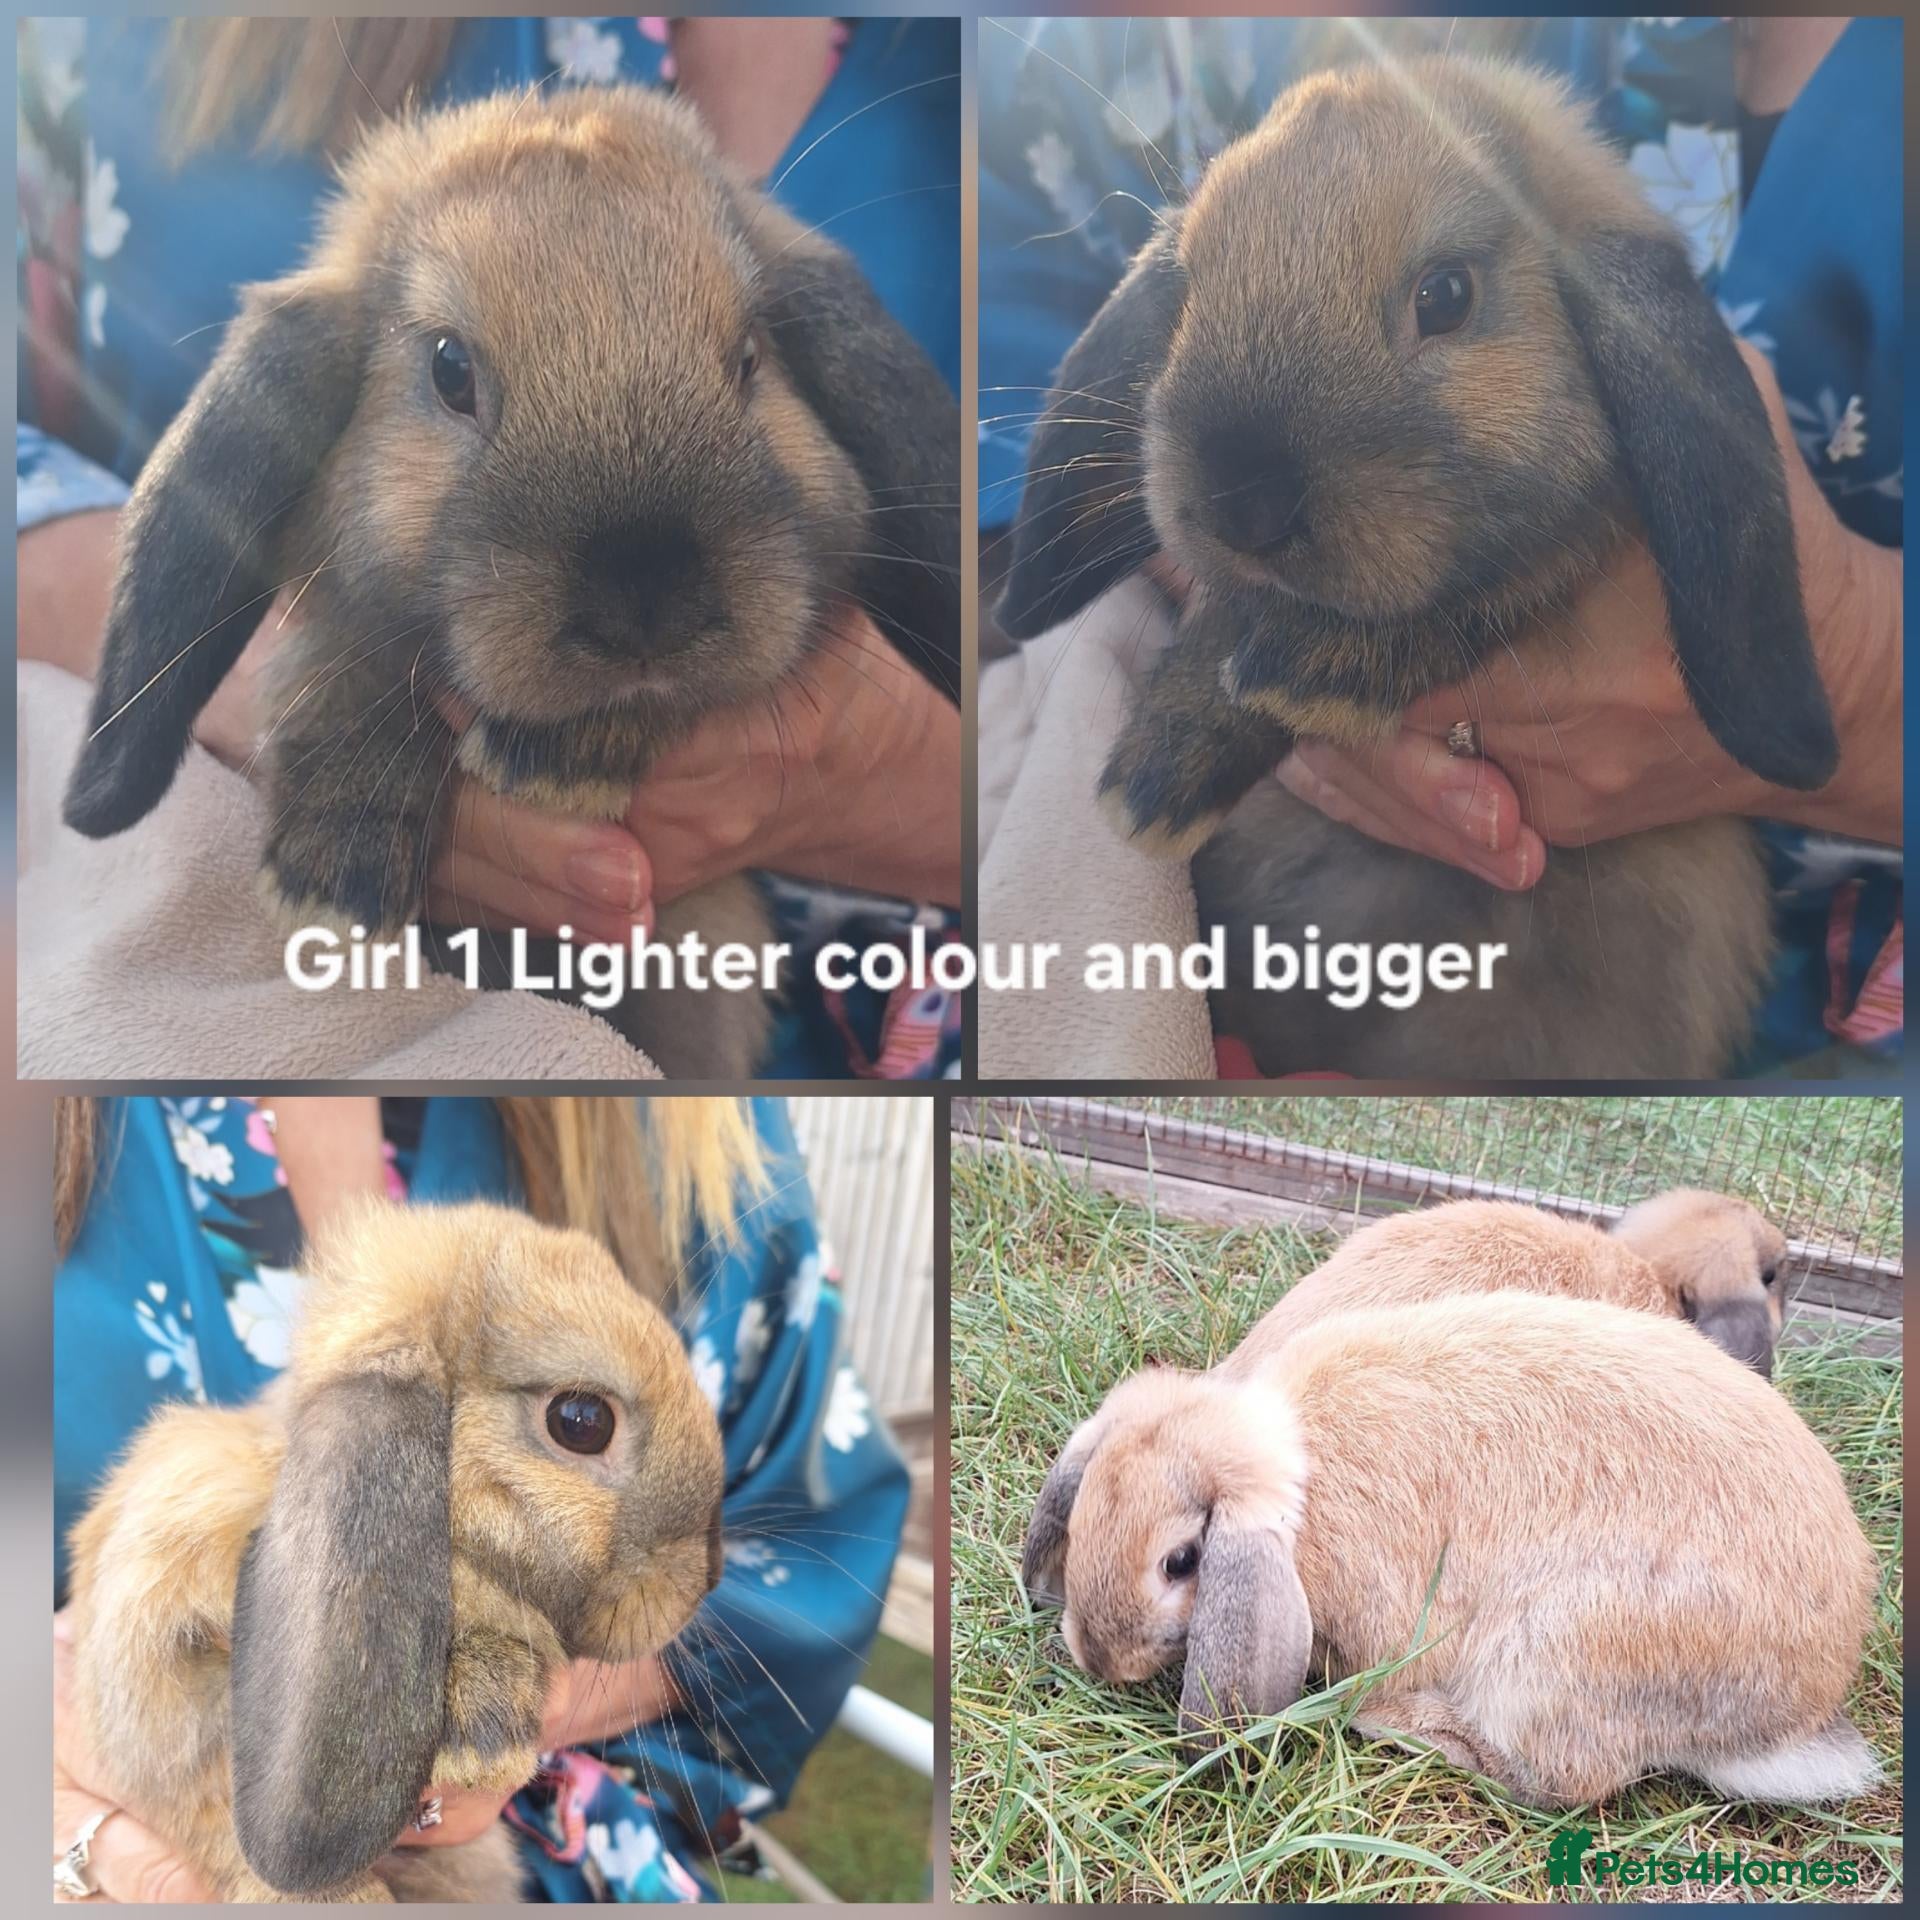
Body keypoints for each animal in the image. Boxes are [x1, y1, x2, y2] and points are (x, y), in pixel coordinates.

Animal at [60, 87, 959, 1078]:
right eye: (450, 368)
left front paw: (559, 757)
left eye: (751, 359)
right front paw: (335, 871)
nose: (646, 603)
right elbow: (346, 660)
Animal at [996, 55, 1839, 1078]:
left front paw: (1302, 680)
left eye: (1445, 296)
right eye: (1189, 286)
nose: (1245, 506)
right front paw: (1159, 775)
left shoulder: (1557, 555)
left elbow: (1485, 594)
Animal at [1021, 1292, 1881, 1808]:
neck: (1302, 1486)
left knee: (1562, 1783)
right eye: (1086, 1513)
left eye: (1181, 1562)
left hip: (1552, 1656)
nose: (1099, 1659)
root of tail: (1791, 1719)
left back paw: (1405, 1726)